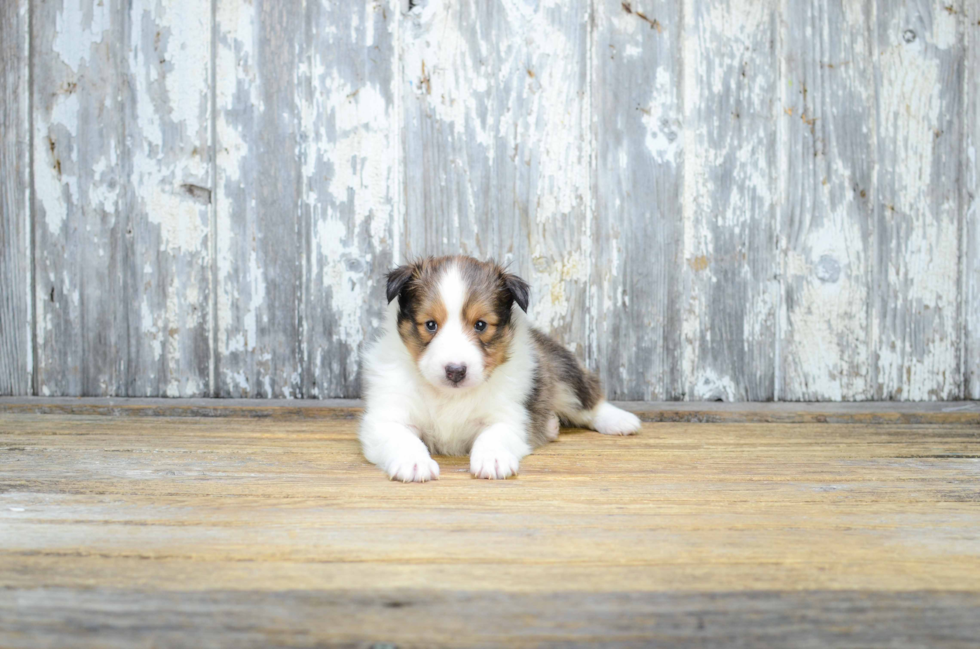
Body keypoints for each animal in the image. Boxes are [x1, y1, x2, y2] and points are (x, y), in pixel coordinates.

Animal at [360, 254, 644, 480]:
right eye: (430, 325)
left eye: (481, 325)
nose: (455, 371)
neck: (450, 396)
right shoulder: (387, 417)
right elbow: (402, 437)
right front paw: (414, 463)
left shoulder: (508, 415)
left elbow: (493, 435)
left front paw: (493, 459)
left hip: (562, 369)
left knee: (588, 400)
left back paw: (619, 420)